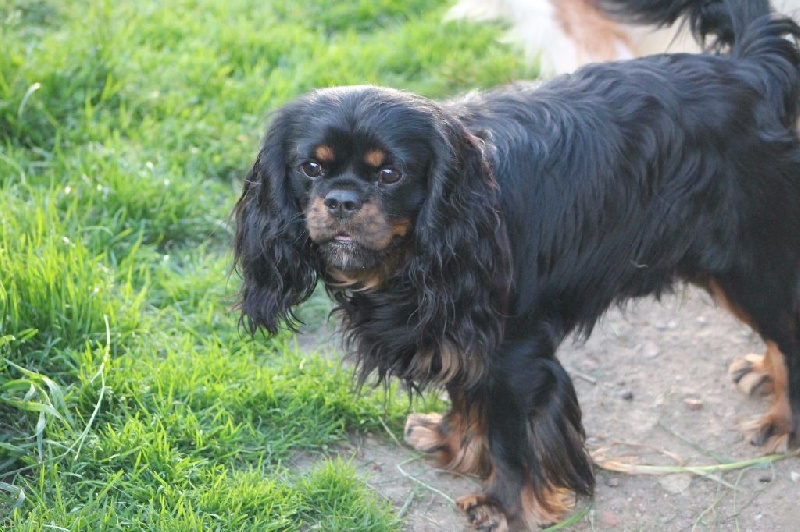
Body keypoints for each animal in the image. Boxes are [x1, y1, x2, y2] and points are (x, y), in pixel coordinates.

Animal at [231, 0, 800, 528]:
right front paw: (453, 441)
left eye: (390, 174)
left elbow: (508, 437)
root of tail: (752, 68)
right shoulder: (461, 325)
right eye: (311, 167)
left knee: (788, 333)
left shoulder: (515, 353)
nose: (341, 201)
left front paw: (501, 504)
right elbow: (468, 396)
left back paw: (784, 423)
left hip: (752, 263)